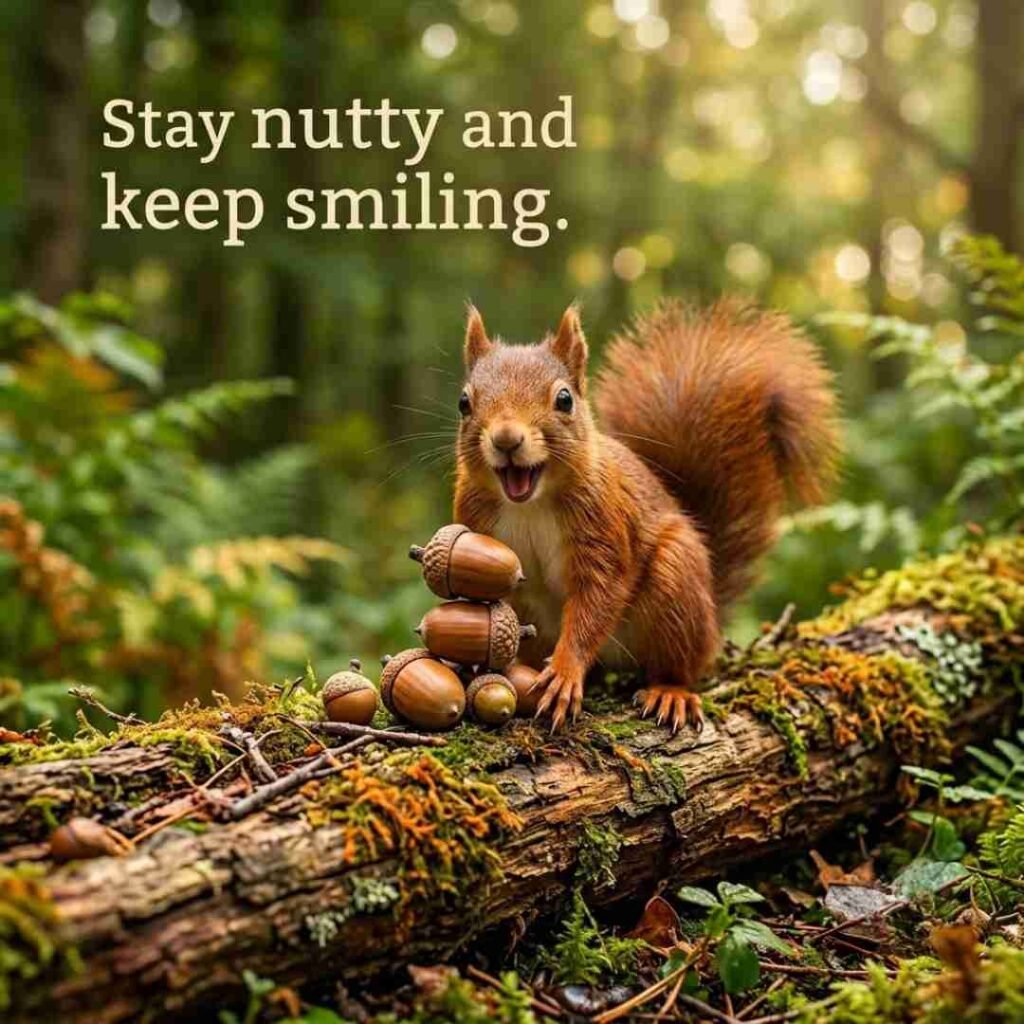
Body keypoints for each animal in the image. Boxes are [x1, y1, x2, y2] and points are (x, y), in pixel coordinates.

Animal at [453, 299, 840, 732]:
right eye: (464, 402)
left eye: (565, 400)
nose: (506, 439)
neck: (531, 503)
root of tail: (711, 617)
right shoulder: (475, 520)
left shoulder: (605, 525)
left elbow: (598, 598)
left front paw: (565, 673)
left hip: (676, 583)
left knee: (678, 665)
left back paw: (669, 692)